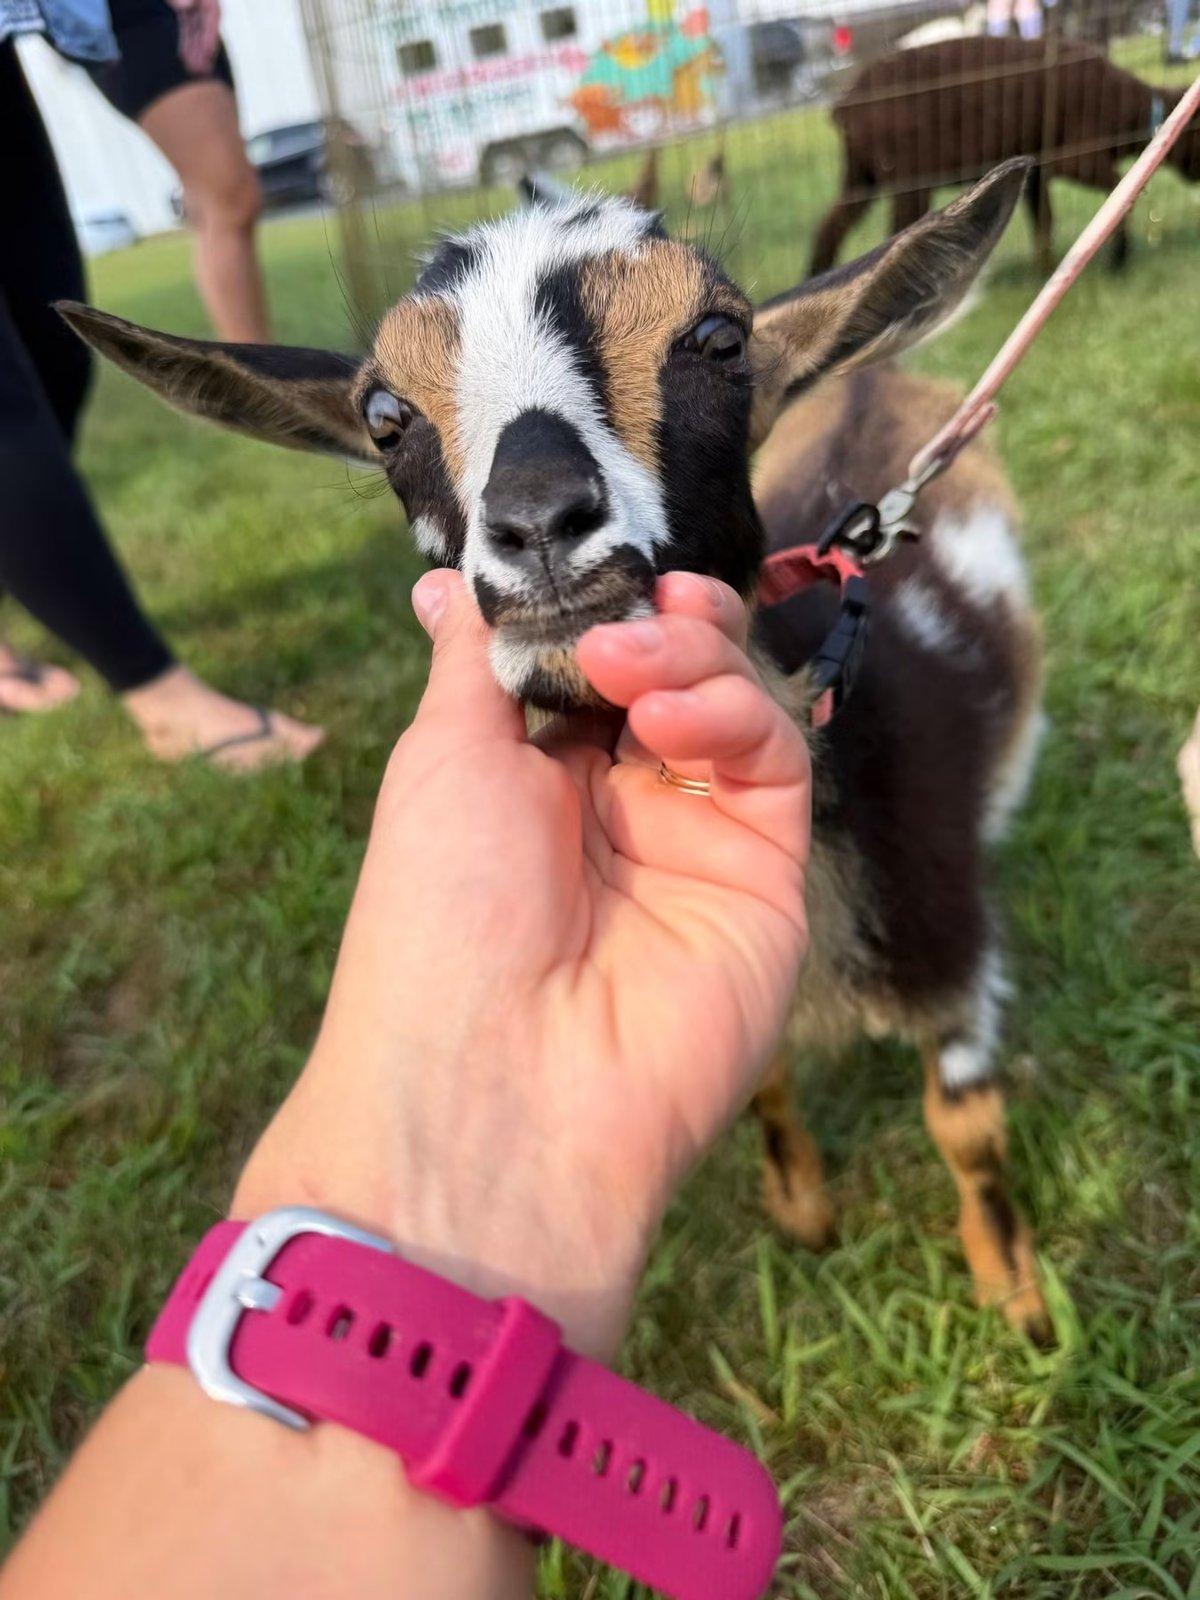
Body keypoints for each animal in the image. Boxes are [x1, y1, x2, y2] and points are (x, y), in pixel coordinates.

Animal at [60, 157, 1051, 1340]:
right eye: (384, 414)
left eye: (719, 337)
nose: (538, 524)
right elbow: (764, 1084)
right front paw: (806, 1211)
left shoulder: (953, 947)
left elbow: (968, 1128)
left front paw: (1021, 1304)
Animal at [811, 36, 1200, 277]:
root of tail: (844, 106)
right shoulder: (1074, 157)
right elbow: (1117, 191)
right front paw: (1118, 258)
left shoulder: (1037, 171)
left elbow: (1044, 220)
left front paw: (1045, 271)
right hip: (907, 175)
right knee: (894, 237)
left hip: (862, 173)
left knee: (832, 224)